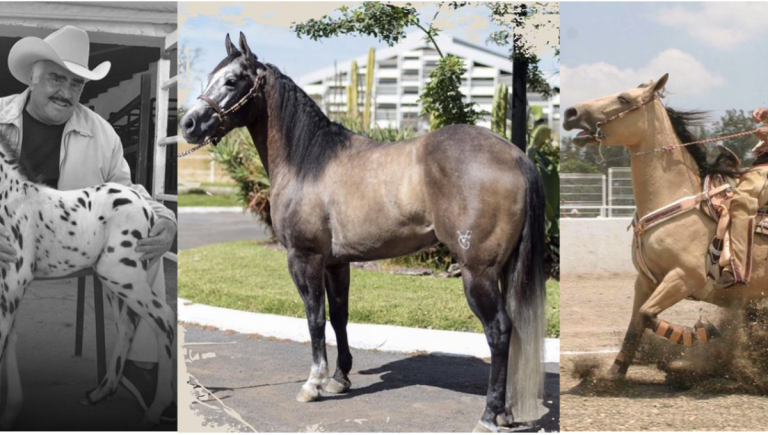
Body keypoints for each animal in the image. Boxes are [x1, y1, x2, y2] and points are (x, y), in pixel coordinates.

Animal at [180, 32, 547, 434]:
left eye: (232, 81)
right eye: (210, 78)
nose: (188, 124)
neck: (308, 161)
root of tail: (517, 157)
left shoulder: (304, 259)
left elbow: (314, 318)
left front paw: (313, 384)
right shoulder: (336, 263)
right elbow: (339, 316)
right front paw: (339, 379)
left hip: (477, 273)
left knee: (499, 331)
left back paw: (489, 416)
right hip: (504, 269)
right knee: (514, 331)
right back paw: (507, 413)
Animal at [562, 73, 768, 378]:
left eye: (623, 98)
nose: (570, 113)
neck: (674, 198)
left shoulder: (684, 278)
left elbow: (647, 315)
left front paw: (704, 334)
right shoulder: (645, 281)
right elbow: (635, 324)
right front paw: (612, 375)